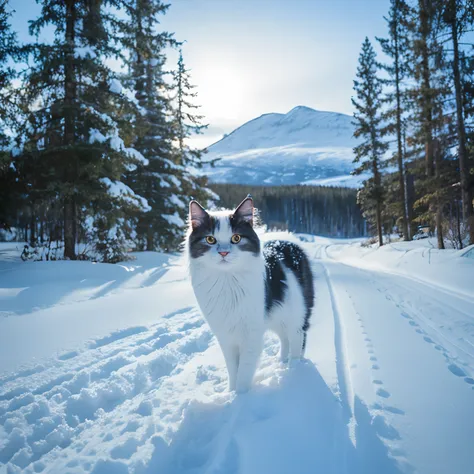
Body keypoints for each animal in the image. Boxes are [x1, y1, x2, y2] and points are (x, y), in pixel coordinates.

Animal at [186, 196, 314, 392]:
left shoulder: (250, 335)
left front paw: (241, 396)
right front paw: (230, 392)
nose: (224, 252)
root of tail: (286, 242)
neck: (227, 281)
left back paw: (293, 368)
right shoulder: (226, 336)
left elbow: (244, 372)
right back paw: (282, 362)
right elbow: (233, 369)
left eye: (236, 238)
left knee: (297, 338)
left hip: (296, 314)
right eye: (210, 239)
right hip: (278, 316)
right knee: (284, 338)